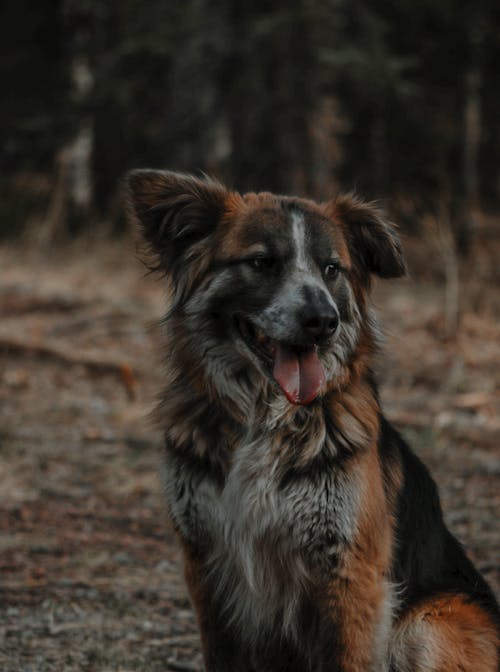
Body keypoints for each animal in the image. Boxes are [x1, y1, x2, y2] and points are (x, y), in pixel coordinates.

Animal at [126, 172, 500, 672]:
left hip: (427, 628)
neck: (264, 417)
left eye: (332, 269)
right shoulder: (208, 566)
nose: (324, 319)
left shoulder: (348, 573)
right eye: (262, 262)